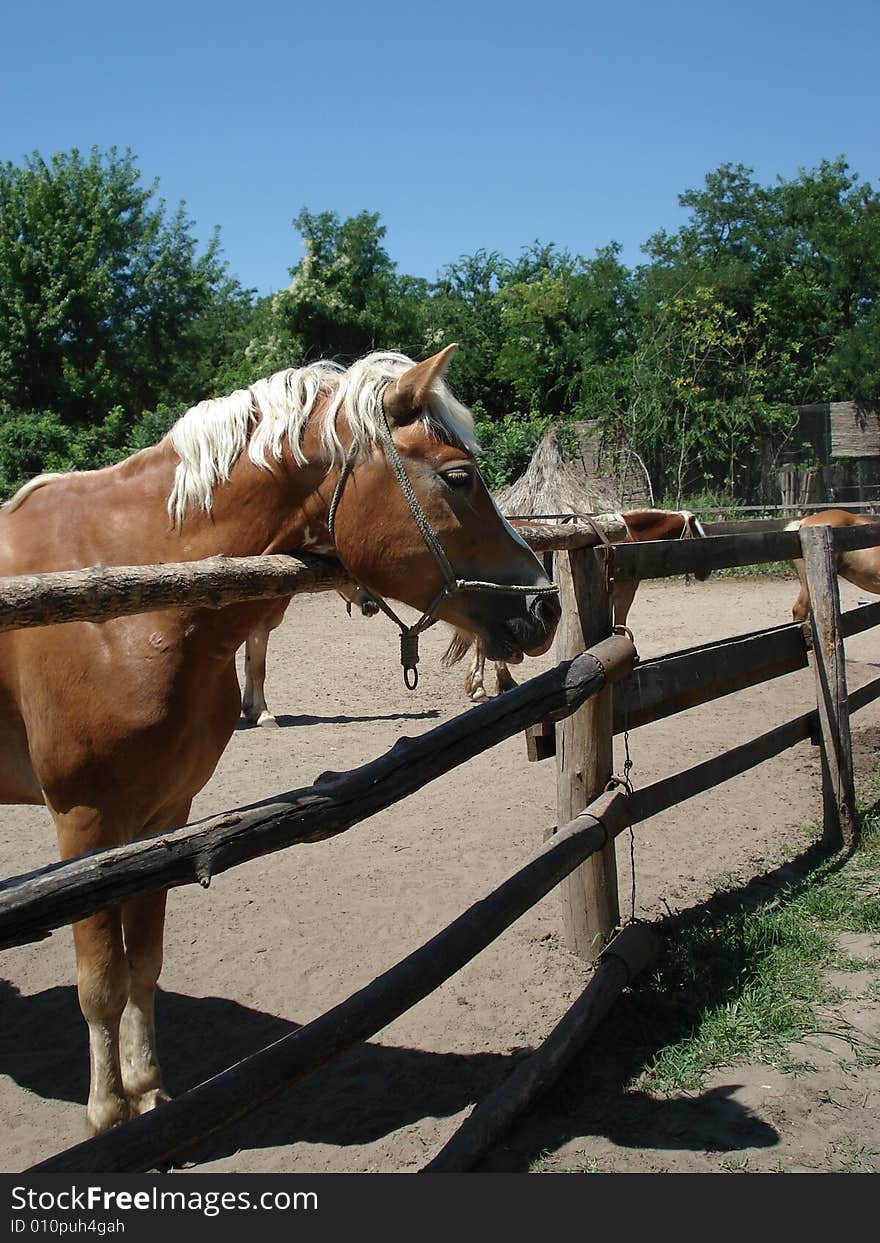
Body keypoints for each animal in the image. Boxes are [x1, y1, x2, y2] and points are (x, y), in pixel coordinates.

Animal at [0, 343, 559, 1138]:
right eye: (459, 477)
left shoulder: (162, 817)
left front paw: (149, 1094)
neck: (127, 600)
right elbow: (101, 981)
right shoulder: (87, 826)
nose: (546, 605)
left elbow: (145, 964)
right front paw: (109, 1115)